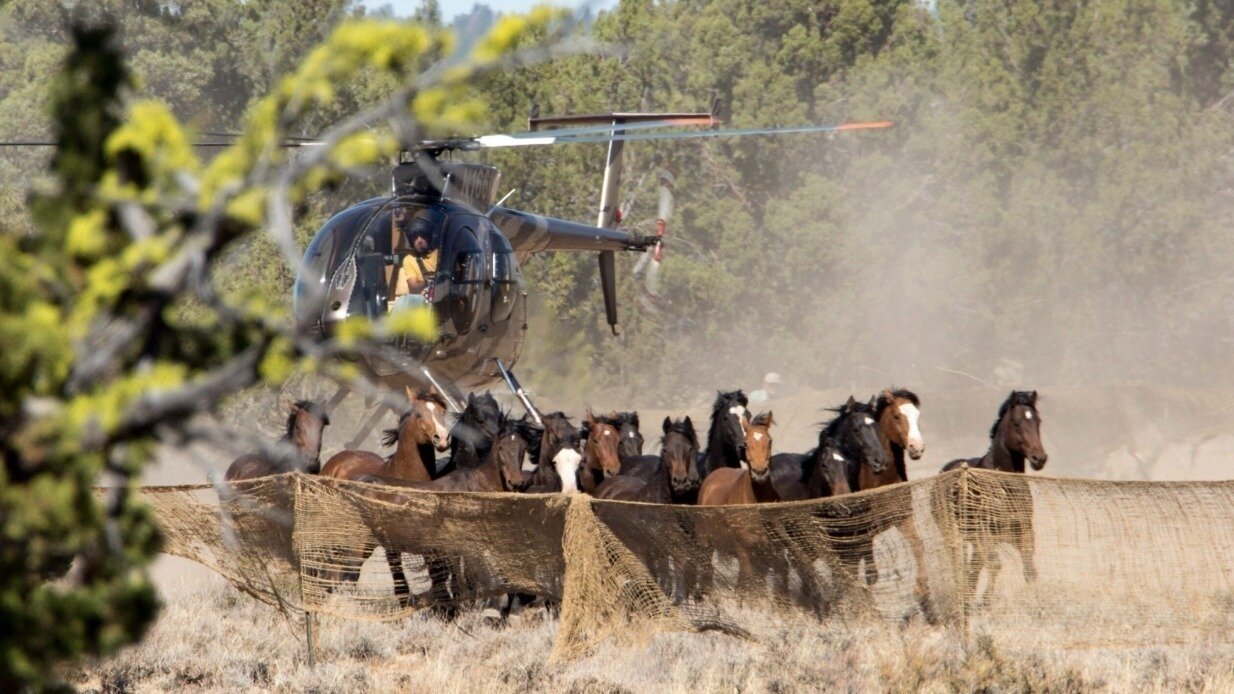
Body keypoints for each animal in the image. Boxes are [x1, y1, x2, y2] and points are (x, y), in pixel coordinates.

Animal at [936, 390, 1046, 611]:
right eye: (1016, 423)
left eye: (1037, 421)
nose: (1039, 458)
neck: (1003, 487)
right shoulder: (984, 532)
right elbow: (994, 564)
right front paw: (986, 602)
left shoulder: (1023, 531)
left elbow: (1029, 569)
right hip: (953, 533)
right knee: (959, 564)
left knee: (974, 566)